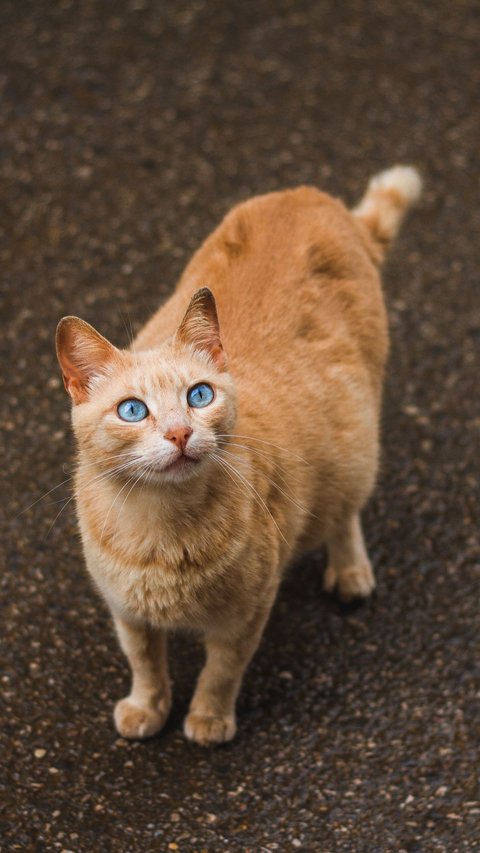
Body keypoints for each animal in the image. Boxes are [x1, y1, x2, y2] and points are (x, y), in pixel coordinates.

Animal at [57, 166, 420, 744]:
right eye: (133, 410)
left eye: (199, 396)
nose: (180, 433)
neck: (161, 530)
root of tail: (312, 197)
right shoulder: (127, 612)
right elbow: (145, 663)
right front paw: (148, 707)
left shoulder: (246, 615)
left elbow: (221, 671)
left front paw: (207, 718)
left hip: (356, 445)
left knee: (344, 512)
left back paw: (350, 571)